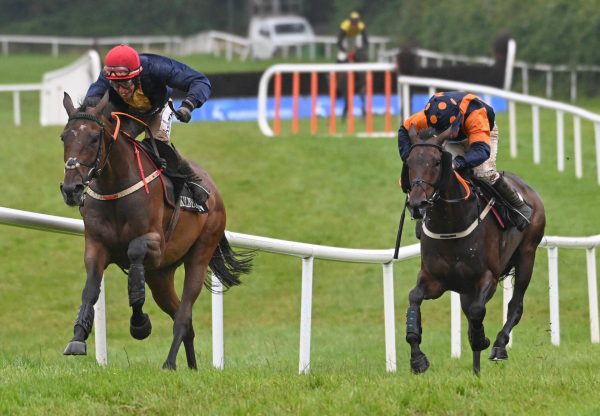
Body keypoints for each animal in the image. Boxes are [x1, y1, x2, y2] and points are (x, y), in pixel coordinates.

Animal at [58, 92, 251, 370]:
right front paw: (77, 338)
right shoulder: (96, 245)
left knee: (183, 314)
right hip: (160, 276)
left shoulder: (155, 245)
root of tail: (214, 191)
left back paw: (169, 363)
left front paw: (140, 324)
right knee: (182, 315)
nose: (71, 189)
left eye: (94, 137)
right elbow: (91, 289)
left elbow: (134, 267)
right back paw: (192, 367)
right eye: (64, 137)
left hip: (200, 252)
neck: (115, 187)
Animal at [400, 124, 548, 374]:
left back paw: (499, 346)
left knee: (515, 306)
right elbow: (414, 299)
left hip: (527, 255)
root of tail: (529, 190)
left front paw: (480, 339)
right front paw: (417, 358)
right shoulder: (434, 279)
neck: (451, 223)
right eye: (409, 162)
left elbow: (478, 311)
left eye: (436, 162)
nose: (417, 204)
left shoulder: (487, 277)